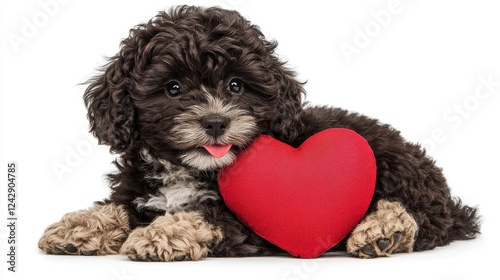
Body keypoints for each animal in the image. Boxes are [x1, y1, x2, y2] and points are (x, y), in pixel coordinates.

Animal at [39, 6, 480, 260]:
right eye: (173, 88)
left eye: (236, 85)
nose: (216, 122)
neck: (187, 169)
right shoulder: (138, 192)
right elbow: (117, 207)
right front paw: (79, 226)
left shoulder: (247, 219)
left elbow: (202, 213)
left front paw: (160, 235)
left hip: (391, 164)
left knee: (424, 217)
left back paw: (383, 231)